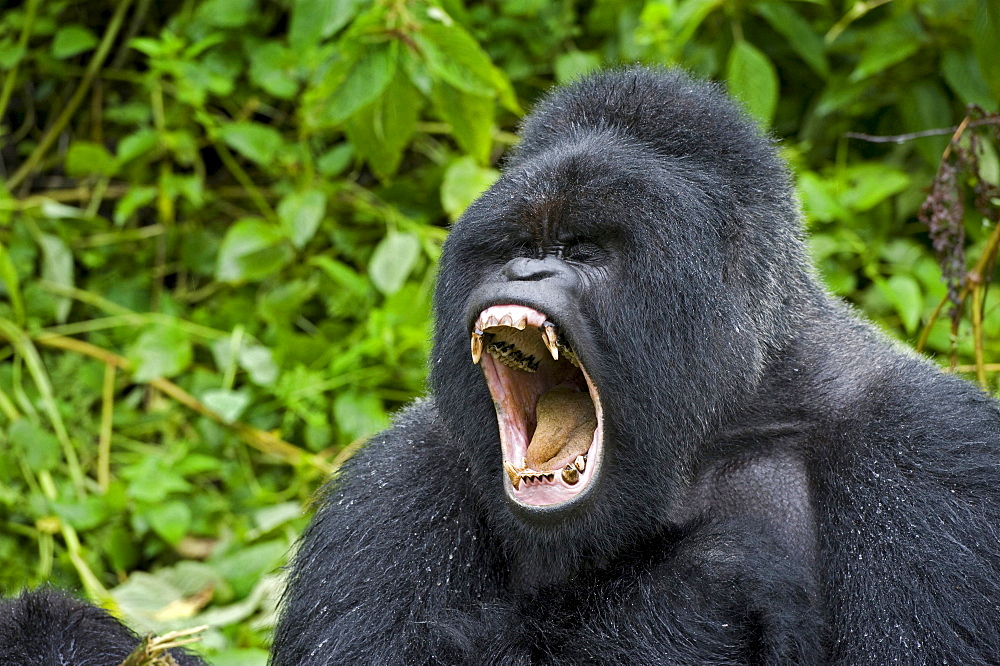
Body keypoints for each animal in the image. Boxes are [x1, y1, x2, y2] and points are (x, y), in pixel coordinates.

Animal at [1, 68, 1000, 664]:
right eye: (518, 245)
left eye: (586, 250)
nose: (524, 275)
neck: (733, 412)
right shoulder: (394, 487)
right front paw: (699, 593)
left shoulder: (931, 465)